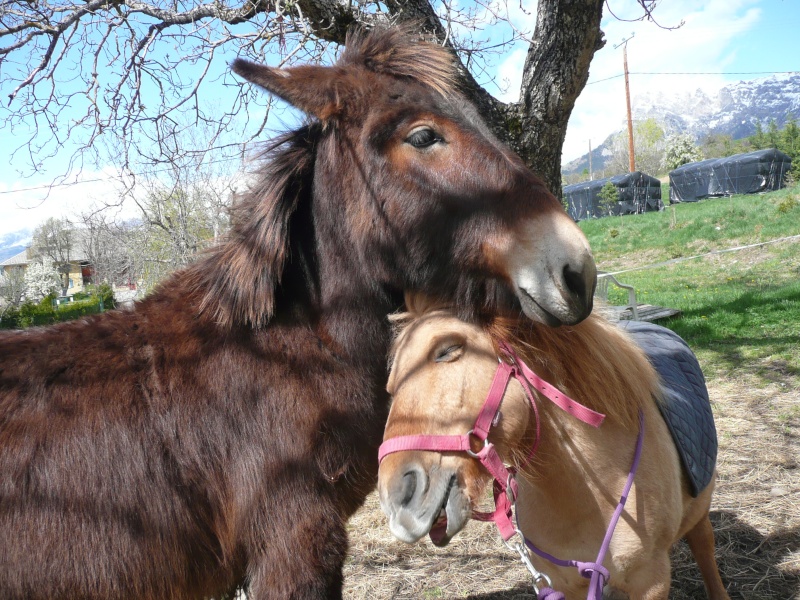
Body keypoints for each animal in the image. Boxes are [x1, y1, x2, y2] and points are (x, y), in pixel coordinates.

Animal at [378, 298, 728, 600]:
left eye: (448, 349)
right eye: (390, 386)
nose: (397, 498)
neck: (590, 495)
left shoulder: (650, 582)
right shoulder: (564, 584)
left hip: (700, 510)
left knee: (704, 546)